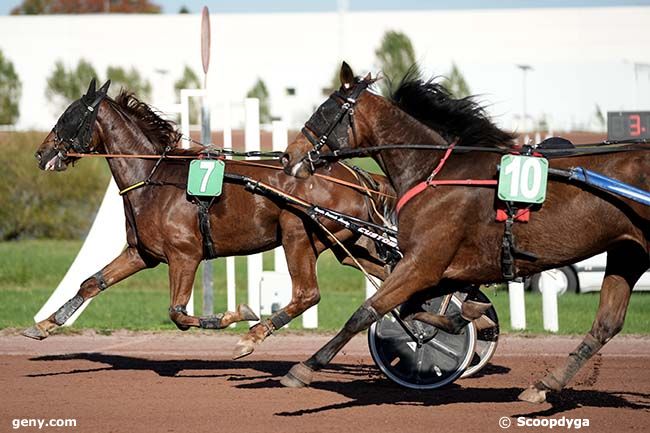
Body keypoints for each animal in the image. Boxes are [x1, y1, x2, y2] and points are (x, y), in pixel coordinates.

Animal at [25, 78, 392, 358]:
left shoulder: (184, 256)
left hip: (298, 235)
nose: (41, 153)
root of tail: (356, 175)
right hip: (348, 244)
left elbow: (177, 314)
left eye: (69, 116)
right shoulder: (141, 254)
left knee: (307, 295)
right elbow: (92, 282)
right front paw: (44, 324)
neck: (154, 177)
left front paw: (235, 315)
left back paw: (251, 337)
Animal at [280, 63, 648, 402]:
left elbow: (366, 311)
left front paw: (305, 368)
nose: (287, 156)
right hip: (628, 252)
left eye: (324, 111)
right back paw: (544, 385)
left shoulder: (422, 263)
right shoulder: (444, 268)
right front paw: (467, 319)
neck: (434, 173)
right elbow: (413, 310)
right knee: (606, 324)